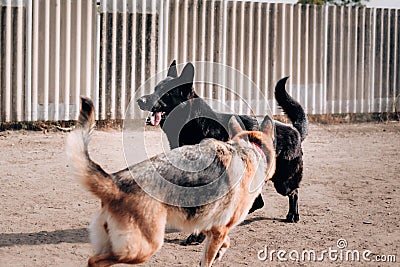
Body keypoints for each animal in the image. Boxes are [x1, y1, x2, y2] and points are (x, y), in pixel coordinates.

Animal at [138, 61, 310, 243]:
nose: (139, 100)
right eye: (155, 88)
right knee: (258, 202)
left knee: (293, 192)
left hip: (283, 183)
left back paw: (293, 214)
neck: (194, 124)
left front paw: (197, 235)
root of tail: (295, 130)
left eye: (166, 92)